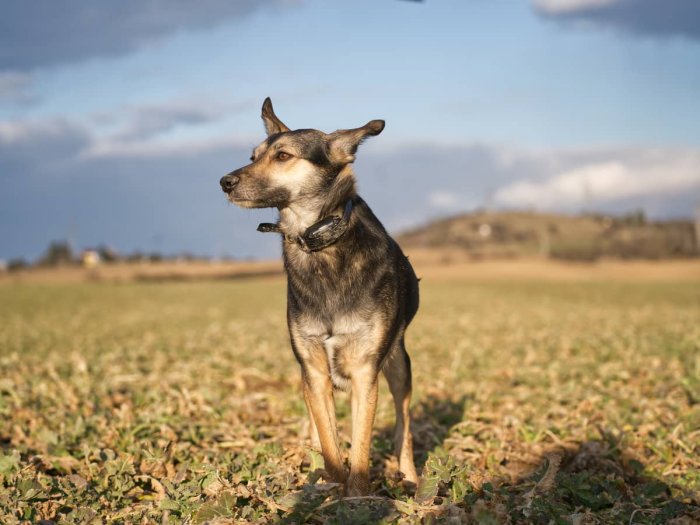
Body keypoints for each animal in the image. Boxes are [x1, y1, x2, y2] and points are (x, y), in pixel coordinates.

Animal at [220, 98, 416, 496]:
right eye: (252, 156)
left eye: (283, 155)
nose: (224, 182)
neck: (317, 244)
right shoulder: (312, 370)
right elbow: (328, 441)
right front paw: (329, 489)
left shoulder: (365, 371)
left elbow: (361, 447)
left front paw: (357, 497)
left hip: (399, 364)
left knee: (404, 428)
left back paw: (411, 479)